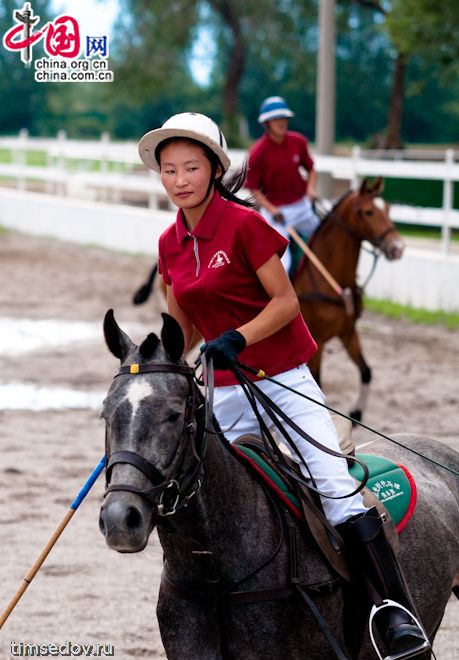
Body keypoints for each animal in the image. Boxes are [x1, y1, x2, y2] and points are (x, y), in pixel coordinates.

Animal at [296, 178, 404, 420]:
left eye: (388, 209)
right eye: (368, 212)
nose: (398, 248)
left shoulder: (348, 332)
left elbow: (366, 372)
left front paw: (356, 414)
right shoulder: (317, 342)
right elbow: (317, 385)